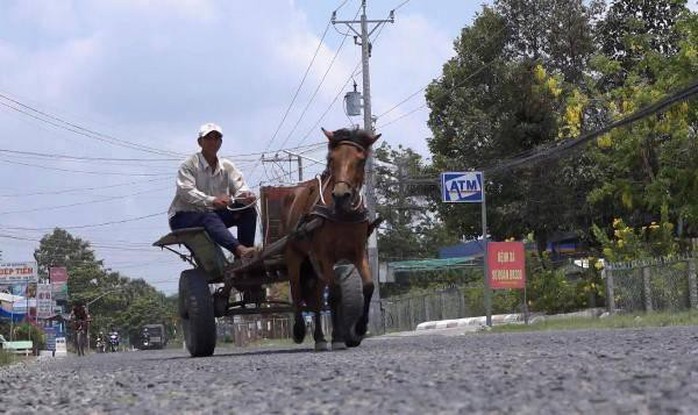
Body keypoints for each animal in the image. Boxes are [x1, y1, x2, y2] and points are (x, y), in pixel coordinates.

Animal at [282, 127, 380, 352]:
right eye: (332, 158)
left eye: (361, 160)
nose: (341, 195)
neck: (342, 213)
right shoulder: (324, 254)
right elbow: (335, 293)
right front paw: (337, 337)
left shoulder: (357, 252)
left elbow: (368, 286)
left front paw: (358, 328)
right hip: (295, 254)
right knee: (297, 290)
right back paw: (300, 330)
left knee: (317, 298)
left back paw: (319, 337)